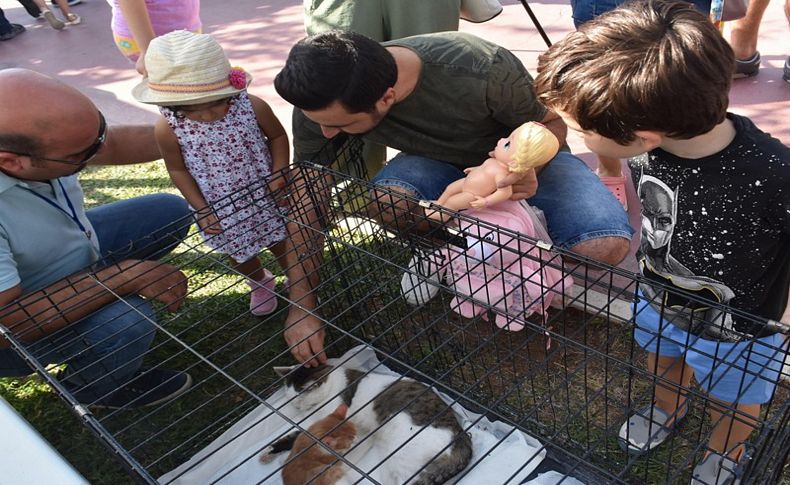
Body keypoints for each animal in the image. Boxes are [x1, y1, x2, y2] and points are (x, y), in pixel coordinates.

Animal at [262, 364, 474, 484]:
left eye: (300, 395)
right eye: (289, 396)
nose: (296, 406)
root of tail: (463, 440)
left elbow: (302, 437)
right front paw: (269, 452)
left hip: (402, 456)